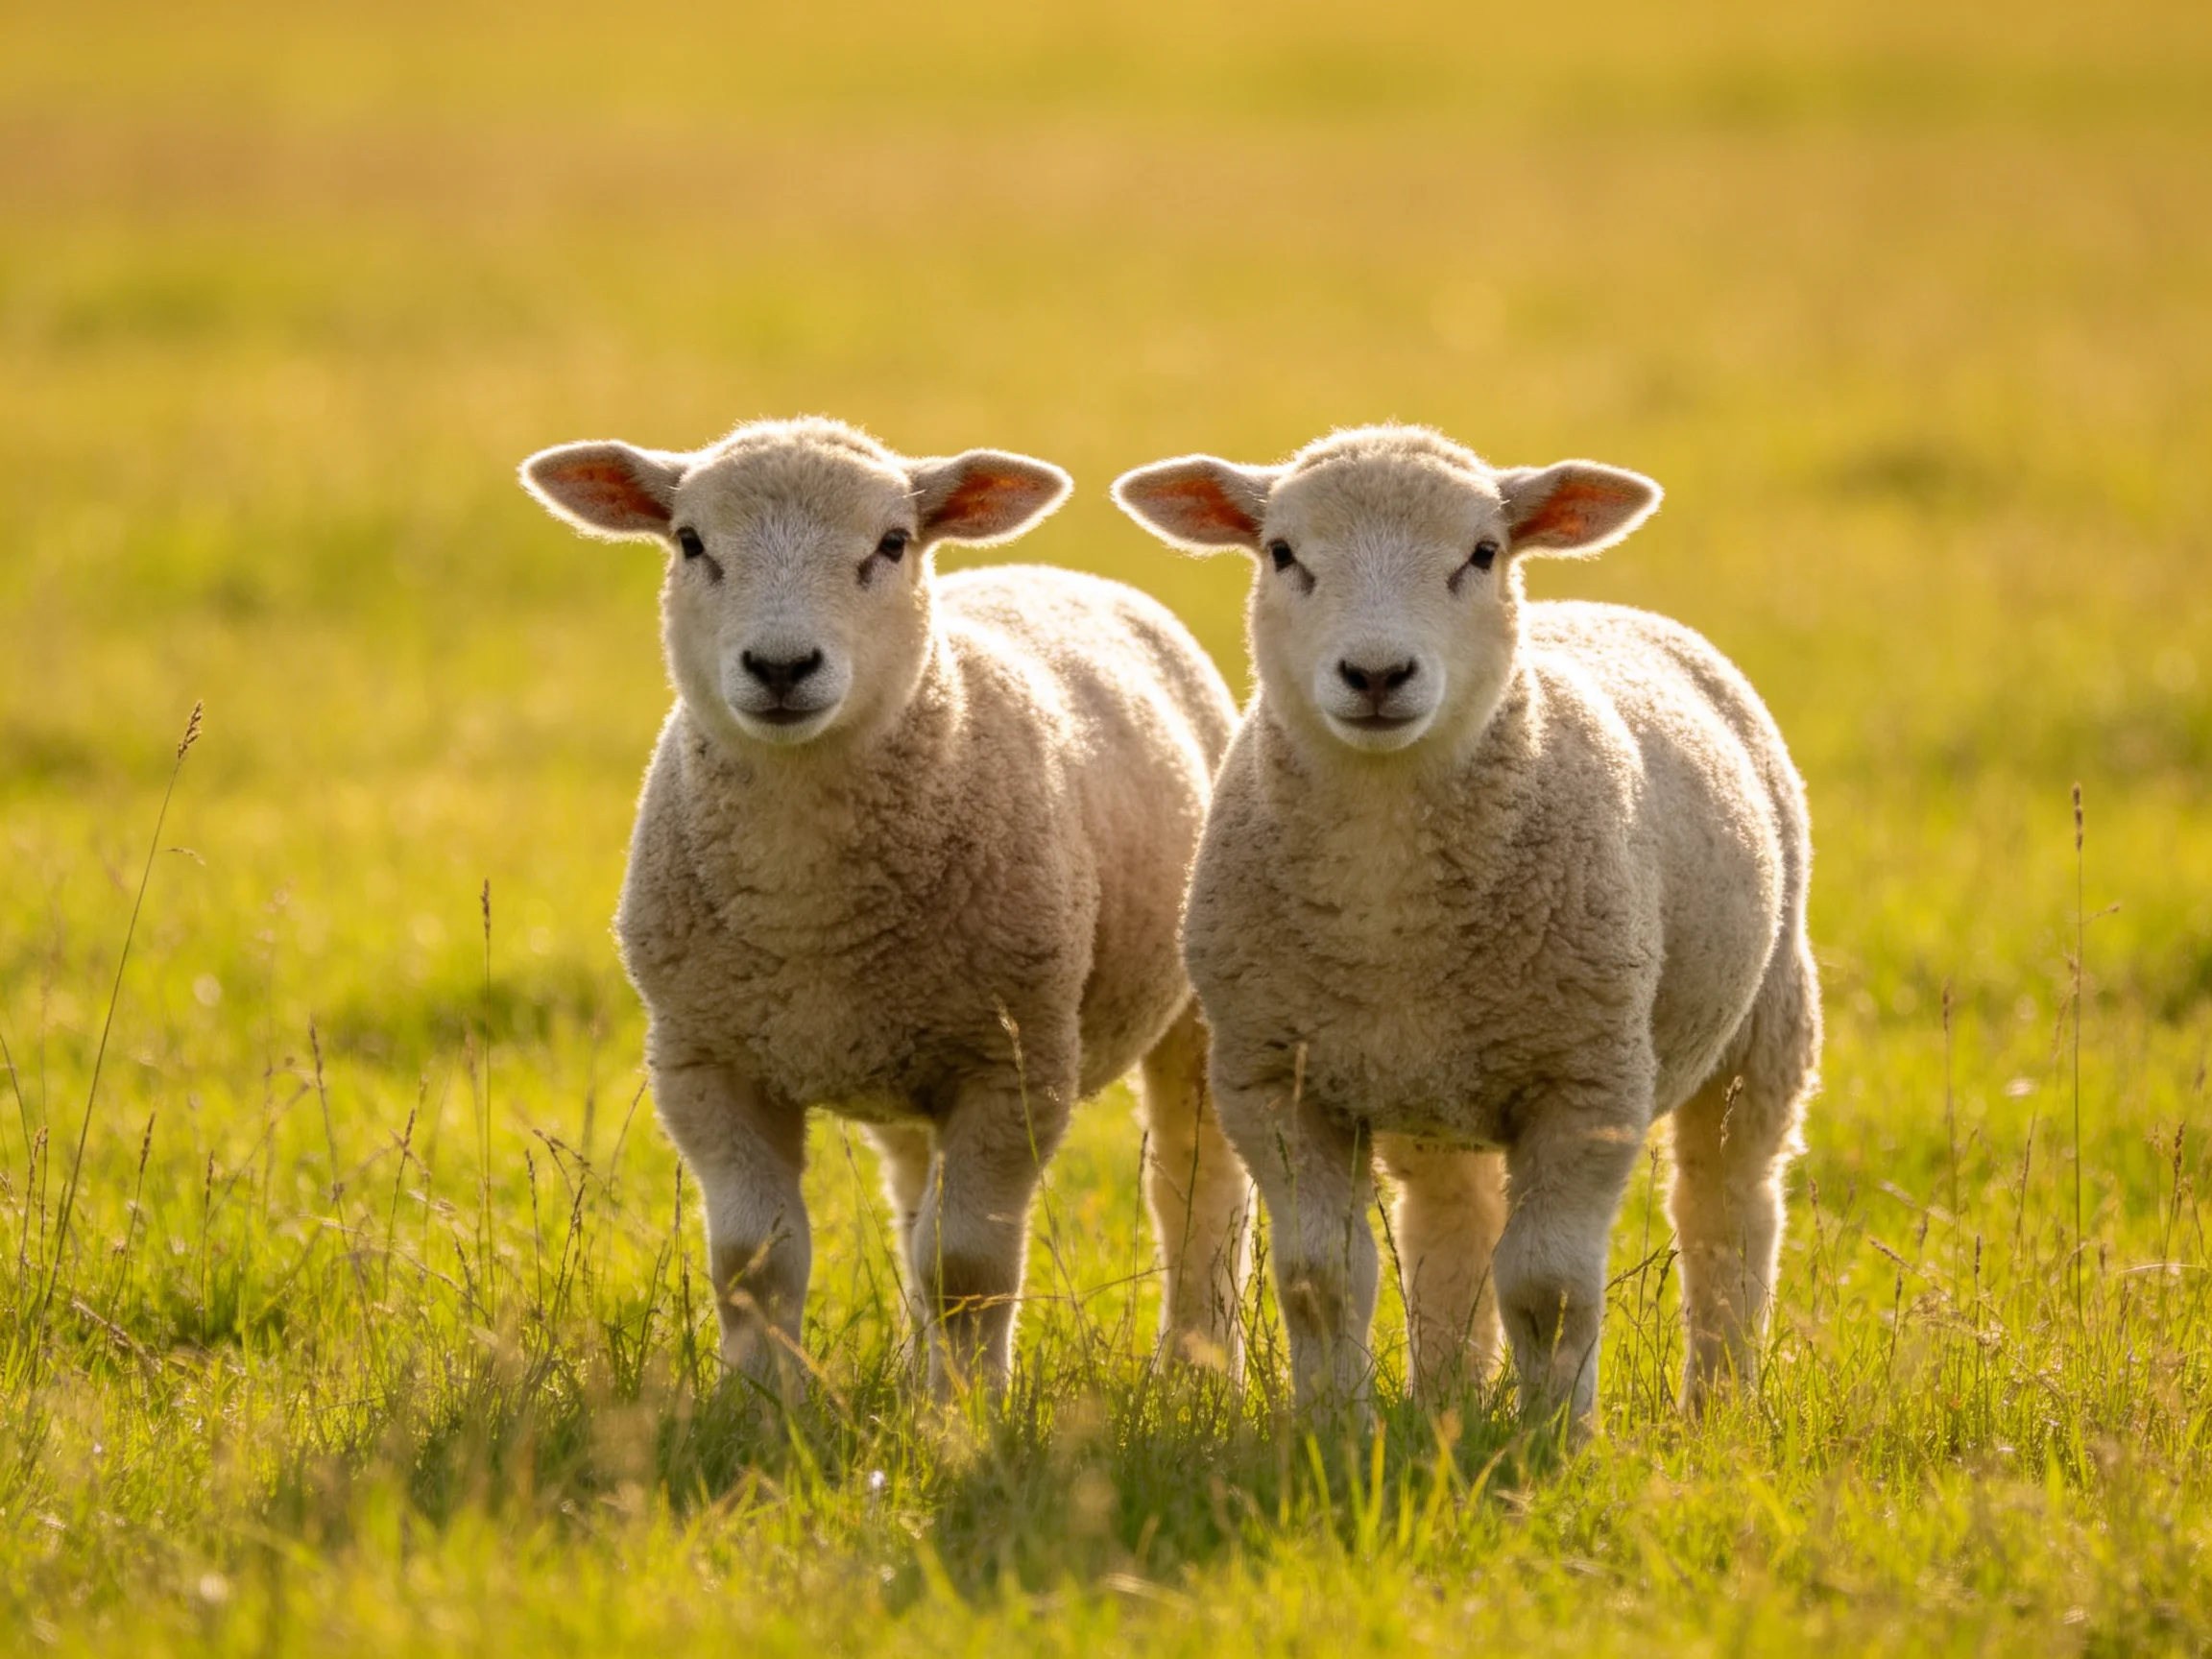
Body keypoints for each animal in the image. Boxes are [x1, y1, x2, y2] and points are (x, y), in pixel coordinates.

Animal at [519, 416, 1250, 1398]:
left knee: (1194, 1186)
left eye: (892, 543)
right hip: (903, 1045)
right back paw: (916, 1375)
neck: (809, 911)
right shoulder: (703, 1060)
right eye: (691, 543)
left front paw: (968, 1411)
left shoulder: (1014, 1063)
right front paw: (759, 1405)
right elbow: (755, 1261)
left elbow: (966, 1268)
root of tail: (1054, 572)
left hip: (1191, 1006)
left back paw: (1197, 1367)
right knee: (912, 1199)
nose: (781, 666)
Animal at [1111, 424, 1820, 1431]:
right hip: (1431, 1080)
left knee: (1729, 1205)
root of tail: (1600, 604)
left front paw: (1555, 1440)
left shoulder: (1588, 1082)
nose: (1376, 674)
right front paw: (1334, 1432)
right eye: (1283, 554)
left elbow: (1549, 1287)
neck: (1392, 908)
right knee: (1453, 1219)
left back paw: (1719, 1401)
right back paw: (1446, 1395)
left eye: (1482, 554)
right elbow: (1321, 1277)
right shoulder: (1275, 1079)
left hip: (1765, 1019)